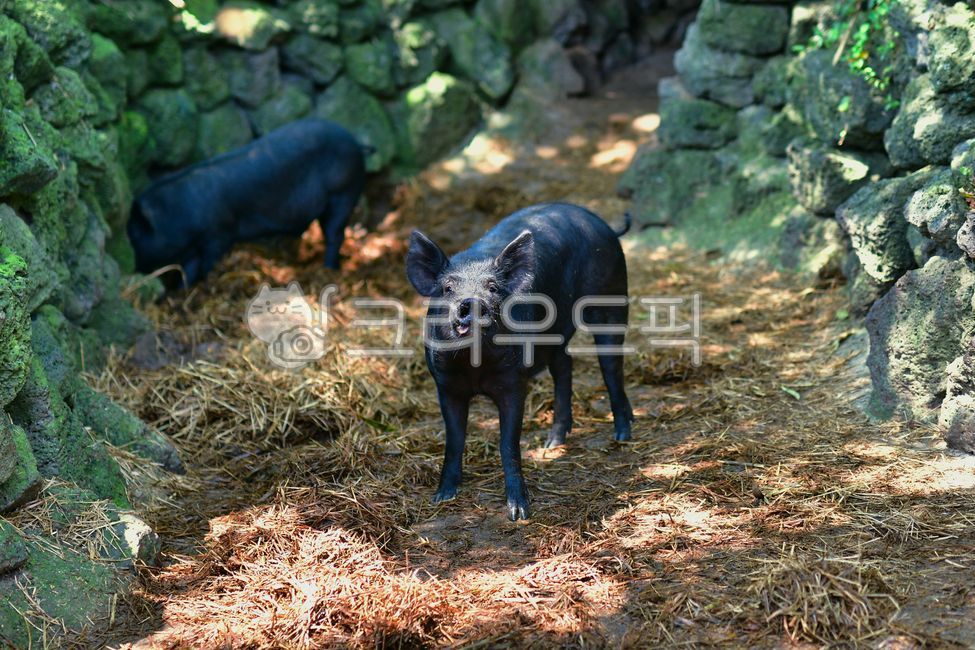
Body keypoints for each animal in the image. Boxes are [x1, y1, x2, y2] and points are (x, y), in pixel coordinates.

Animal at [128, 118, 367, 285]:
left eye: (135, 233)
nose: (132, 263)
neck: (178, 213)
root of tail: (356, 143)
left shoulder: (219, 234)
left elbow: (207, 263)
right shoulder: (194, 245)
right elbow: (189, 269)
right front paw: (180, 290)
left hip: (344, 191)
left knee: (335, 234)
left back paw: (329, 268)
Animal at [406, 202, 634, 521]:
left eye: (492, 287)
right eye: (447, 288)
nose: (470, 302)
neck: (474, 365)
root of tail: (605, 226)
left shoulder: (514, 382)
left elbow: (508, 443)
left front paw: (519, 513)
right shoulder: (445, 385)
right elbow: (454, 440)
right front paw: (442, 497)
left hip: (611, 296)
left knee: (611, 365)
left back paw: (623, 435)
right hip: (557, 334)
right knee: (565, 366)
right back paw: (553, 443)